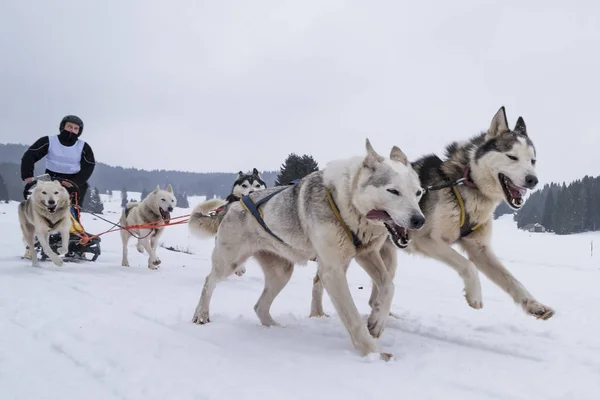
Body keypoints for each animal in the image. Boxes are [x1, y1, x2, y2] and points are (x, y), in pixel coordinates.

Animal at [190, 139, 424, 358]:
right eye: (393, 191)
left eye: (418, 192)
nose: (419, 220)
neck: (345, 204)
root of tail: (233, 205)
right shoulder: (332, 271)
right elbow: (353, 317)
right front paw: (372, 353)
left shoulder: (366, 254)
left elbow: (388, 286)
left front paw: (376, 322)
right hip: (229, 262)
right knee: (209, 281)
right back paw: (201, 314)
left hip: (281, 273)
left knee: (259, 306)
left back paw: (277, 329)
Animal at [312, 104, 556, 320]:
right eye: (511, 157)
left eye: (533, 161)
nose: (533, 180)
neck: (464, 182)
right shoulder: (427, 240)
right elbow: (467, 265)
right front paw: (475, 295)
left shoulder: (480, 249)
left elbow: (512, 281)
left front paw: (535, 306)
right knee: (319, 281)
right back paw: (317, 314)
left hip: (386, 257)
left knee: (375, 296)